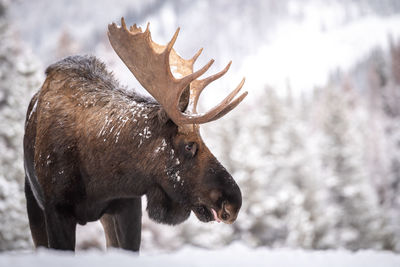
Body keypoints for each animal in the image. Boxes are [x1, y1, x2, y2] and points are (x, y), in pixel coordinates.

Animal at [23, 18, 247, 251]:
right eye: (189, 145)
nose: (233, 202)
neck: (99, 178)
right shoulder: (56, 209)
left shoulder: (128, 205)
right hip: (32, 201)